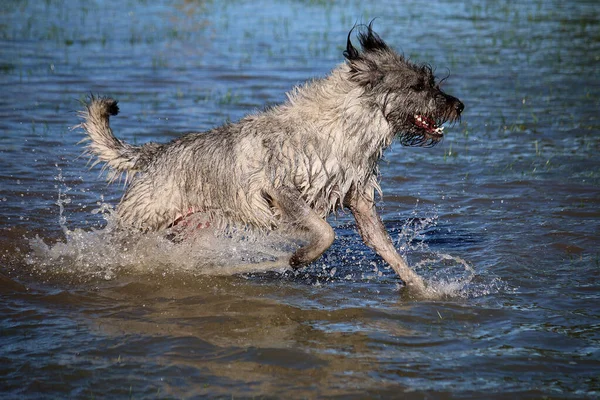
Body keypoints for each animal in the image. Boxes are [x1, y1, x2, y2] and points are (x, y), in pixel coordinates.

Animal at [78, 24, 464, 294]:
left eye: (430, 81)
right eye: (418, 86)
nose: (459, 106)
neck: (344, 126)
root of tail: (156, 152)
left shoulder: (360, 200)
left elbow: (387, 249)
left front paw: (424, 288)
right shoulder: (281, 190)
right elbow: (325, 233)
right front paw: (298, 258)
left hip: (188, 229)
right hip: (138, 224)